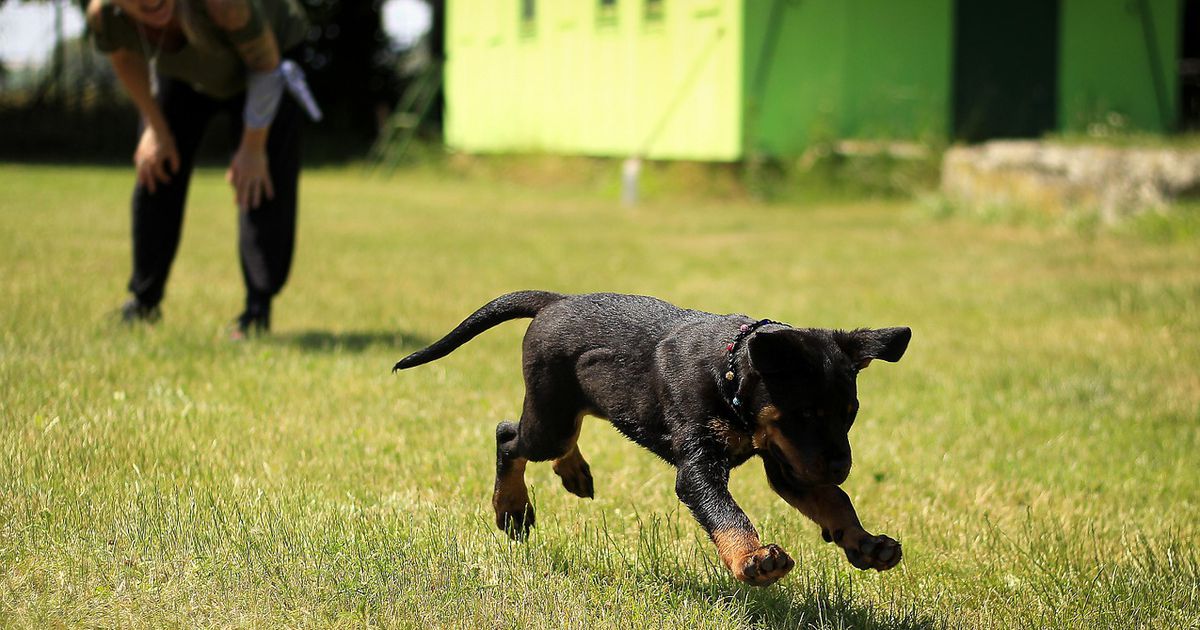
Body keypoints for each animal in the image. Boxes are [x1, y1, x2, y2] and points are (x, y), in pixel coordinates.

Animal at [393, 291, 907, 585]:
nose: (842, 466)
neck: (729, 371)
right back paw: (512, 509)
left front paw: (866, 544)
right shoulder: (700, 467)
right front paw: (753, 559)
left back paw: (573, 472)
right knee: (508, 437)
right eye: (804, 414)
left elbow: (835, 501)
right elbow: (728, 514)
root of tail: (554, 300)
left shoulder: (790, 463)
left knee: (557, 438)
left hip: (572, 407)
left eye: (849, 415)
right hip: (550, 418)